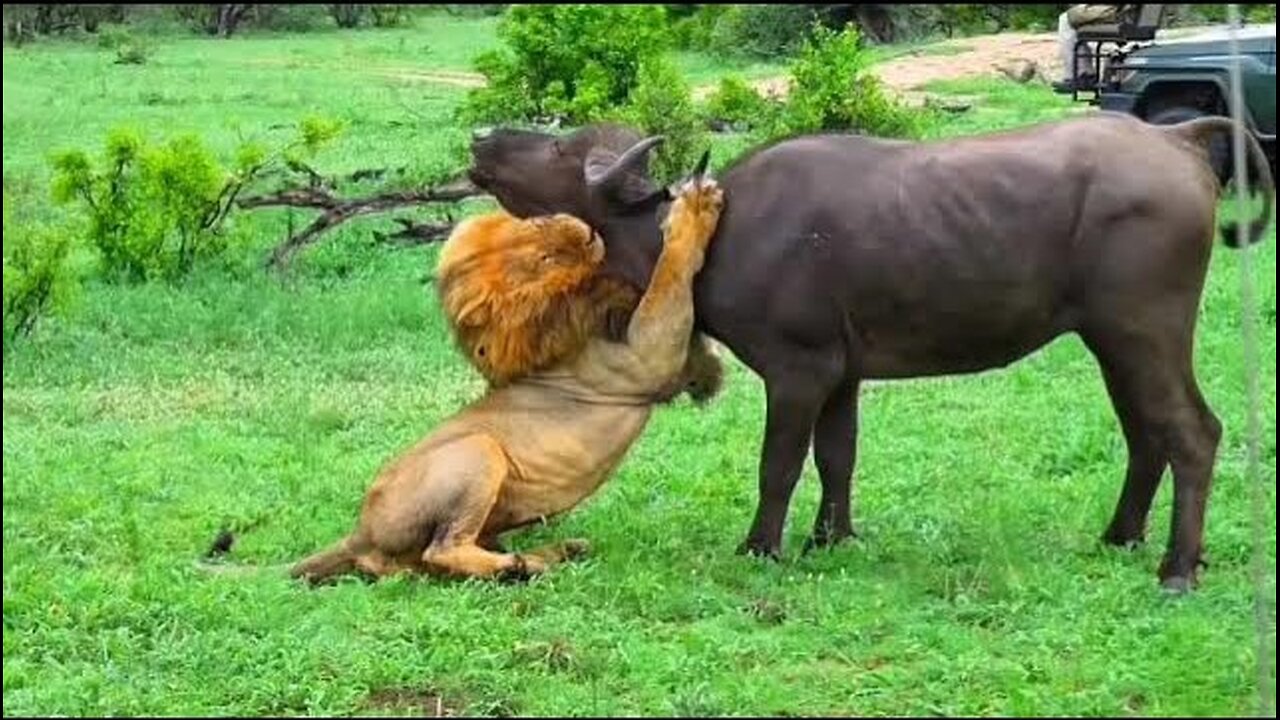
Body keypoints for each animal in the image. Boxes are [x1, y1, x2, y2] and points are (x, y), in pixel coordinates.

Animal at [290, 175, 727, 584]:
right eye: (546, 258)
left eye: (538, 221)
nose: (587, 231)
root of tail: (358, 534)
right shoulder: (646, 356)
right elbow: (668, 275)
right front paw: (694, 207)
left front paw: (711, 373)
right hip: (478, 451)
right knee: (442, 550)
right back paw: (519, 565)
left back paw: (556, 553)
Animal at [468, 113, 1269, 589]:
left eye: (560, 147)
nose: (480, 138)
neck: (718, 233)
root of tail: (1177, 139)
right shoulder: (842, 375)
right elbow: (837, 456)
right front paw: (831, 538)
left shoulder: (798, 370)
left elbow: (780, 465)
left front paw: (762, 547)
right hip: (1113, 340)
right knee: (1146, 435)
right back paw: (1120, 536)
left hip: (1144, 331)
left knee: (1192, 433)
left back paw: (1177, 566)